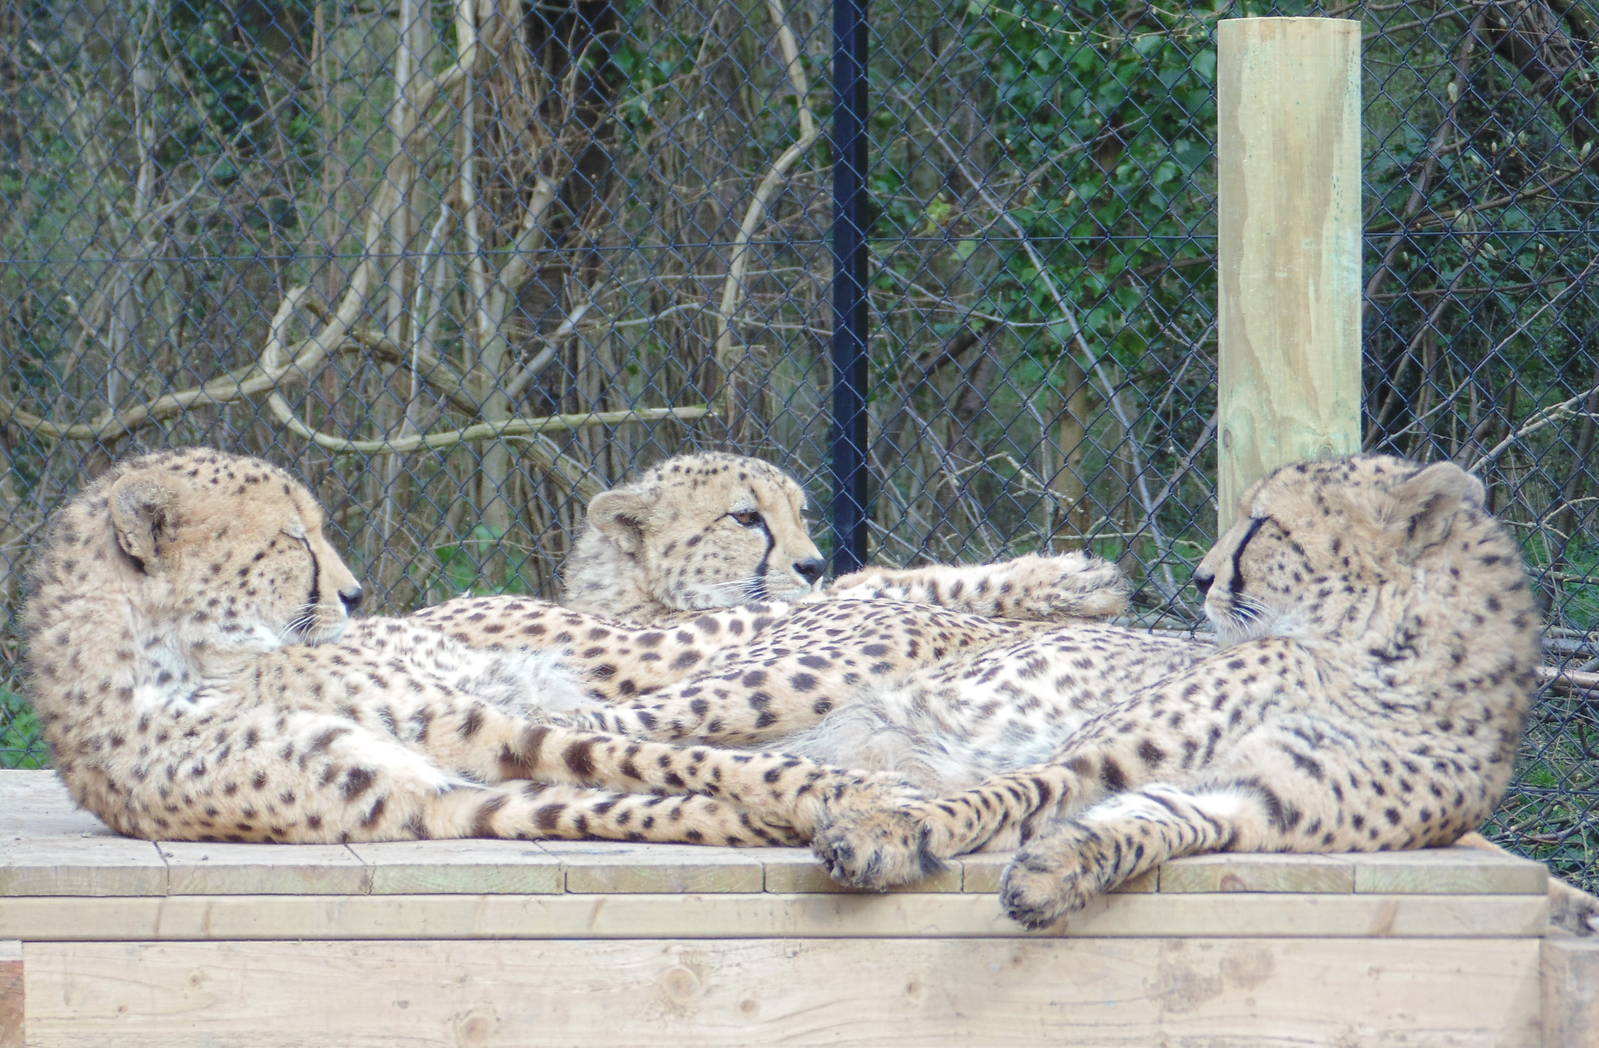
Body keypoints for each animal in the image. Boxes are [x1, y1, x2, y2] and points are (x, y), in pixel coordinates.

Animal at [784, 454, 1545, 929]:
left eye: (1263, 524)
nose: (1202, 578)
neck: (1376, 659)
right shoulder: (1093, 755)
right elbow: (1000, 793)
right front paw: (880, 832)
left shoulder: (1254, 803)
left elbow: (1148, 823)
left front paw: (1057, 871)